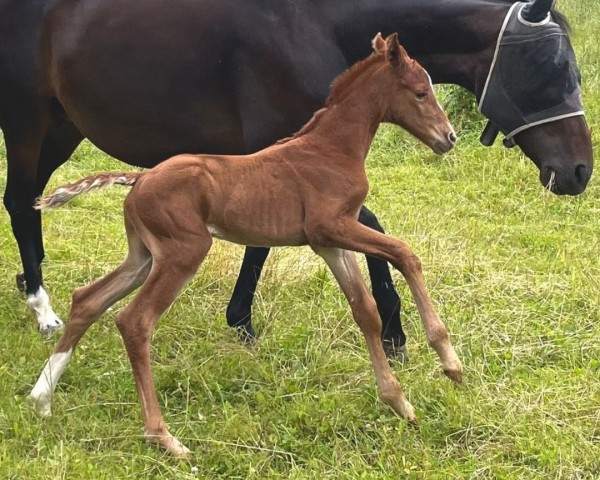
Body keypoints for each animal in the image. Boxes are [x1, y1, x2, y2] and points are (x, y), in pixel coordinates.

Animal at [0, 0, 592, 350]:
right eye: (551, 67)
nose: (579, 170)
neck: (314, 22)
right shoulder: (289, 155)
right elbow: (356, 228)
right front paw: (394, 328)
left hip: (61, 131)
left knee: (28, 201)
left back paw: (31, 280)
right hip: (28, 124)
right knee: (19, 202)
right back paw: (42, 308)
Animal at [30, 34, 462, 458]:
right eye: (421, 92)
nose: (449, 137)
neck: (332, 149)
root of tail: (139, 179)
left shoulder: (329, 243)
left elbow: (365, 311)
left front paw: (399, 402)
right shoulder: (332, 227)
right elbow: (406, 254)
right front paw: (450, 362)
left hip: (144, 256)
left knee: (88, 298)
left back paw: (41, 398)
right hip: (183, 252)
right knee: (135, 321)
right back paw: (163, 437)